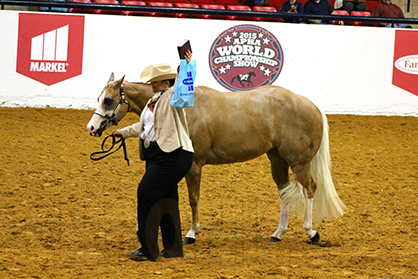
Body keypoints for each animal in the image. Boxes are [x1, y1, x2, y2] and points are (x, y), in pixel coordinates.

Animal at [86, 74, 344, 245]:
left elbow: (193, 199)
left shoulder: (194, 165)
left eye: (108, 100)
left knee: (309, 189)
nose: (92, 127)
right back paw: (277, 233)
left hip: (299, 162)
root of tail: (310, 104)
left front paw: (191, 233)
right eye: (99, 97)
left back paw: (311, 232)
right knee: (284, 191)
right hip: (277, 160)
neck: (180, 111)